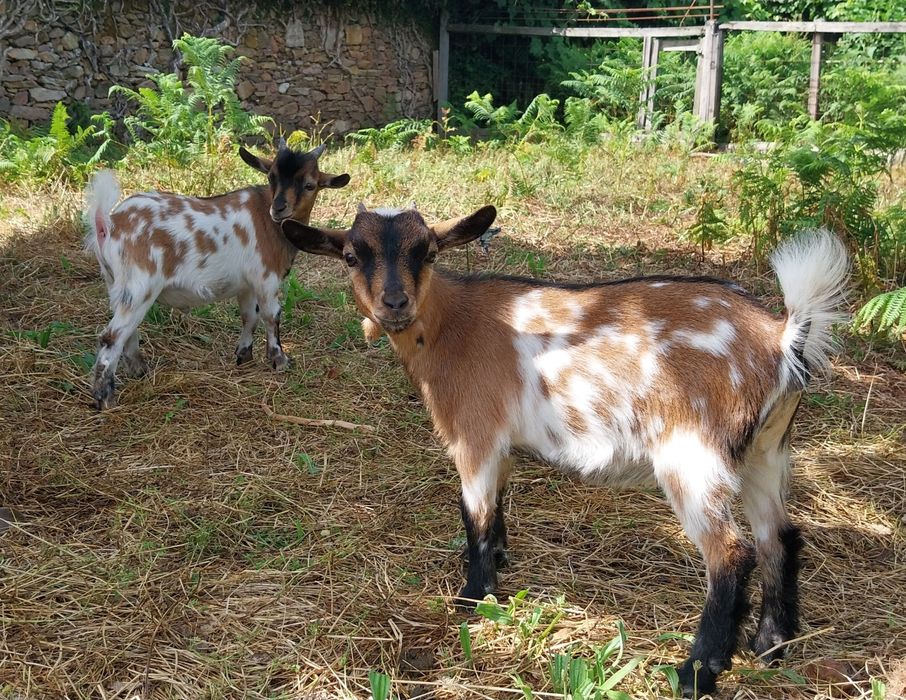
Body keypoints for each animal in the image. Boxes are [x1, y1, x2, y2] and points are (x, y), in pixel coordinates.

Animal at [83, 142, 350, 409]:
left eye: (310, 185)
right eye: (271, 176)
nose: (279, 208)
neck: (268, 221)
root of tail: (110, 223)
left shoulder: (247, 284)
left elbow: (249, 316)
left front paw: (244, 355)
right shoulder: (267, 278)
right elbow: (271, 316)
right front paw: (280, 360)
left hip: (116, 285)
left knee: (127, 333)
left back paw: (140, 371)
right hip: (140, 286)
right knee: (111, 337)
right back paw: (105, 398)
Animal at [280, 205, 849, 697]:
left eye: (429, 252)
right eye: (351, 255)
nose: (394, 304)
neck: (447, 326)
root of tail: (781, 336)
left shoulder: (474, 436)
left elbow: (475, 513)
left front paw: (474, 596)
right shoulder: (503, 444)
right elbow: (496, 505)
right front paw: (499, 561)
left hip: (693, 456)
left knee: (732, 552)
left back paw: (695, 672)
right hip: (764, 451)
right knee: (780, 535)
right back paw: (770, 645)